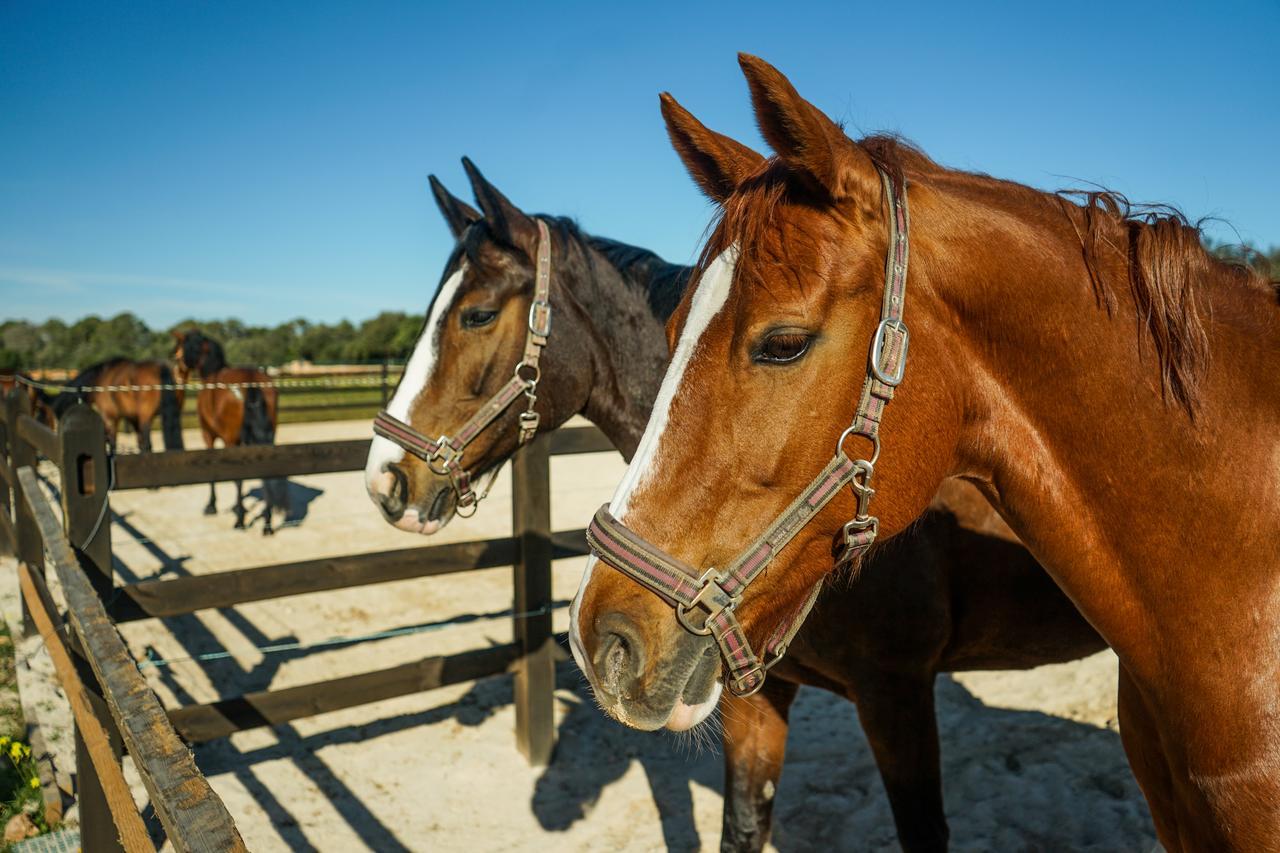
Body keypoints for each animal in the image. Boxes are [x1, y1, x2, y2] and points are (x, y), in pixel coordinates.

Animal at [171, 326, 286, 532]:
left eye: (178, 353)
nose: (178, 373)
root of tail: (252, 381)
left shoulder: (208, 435)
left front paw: (211, 506)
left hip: (231, 440)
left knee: (238, 478)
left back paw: (240, 520)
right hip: (267, 437)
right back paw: (267, 523)